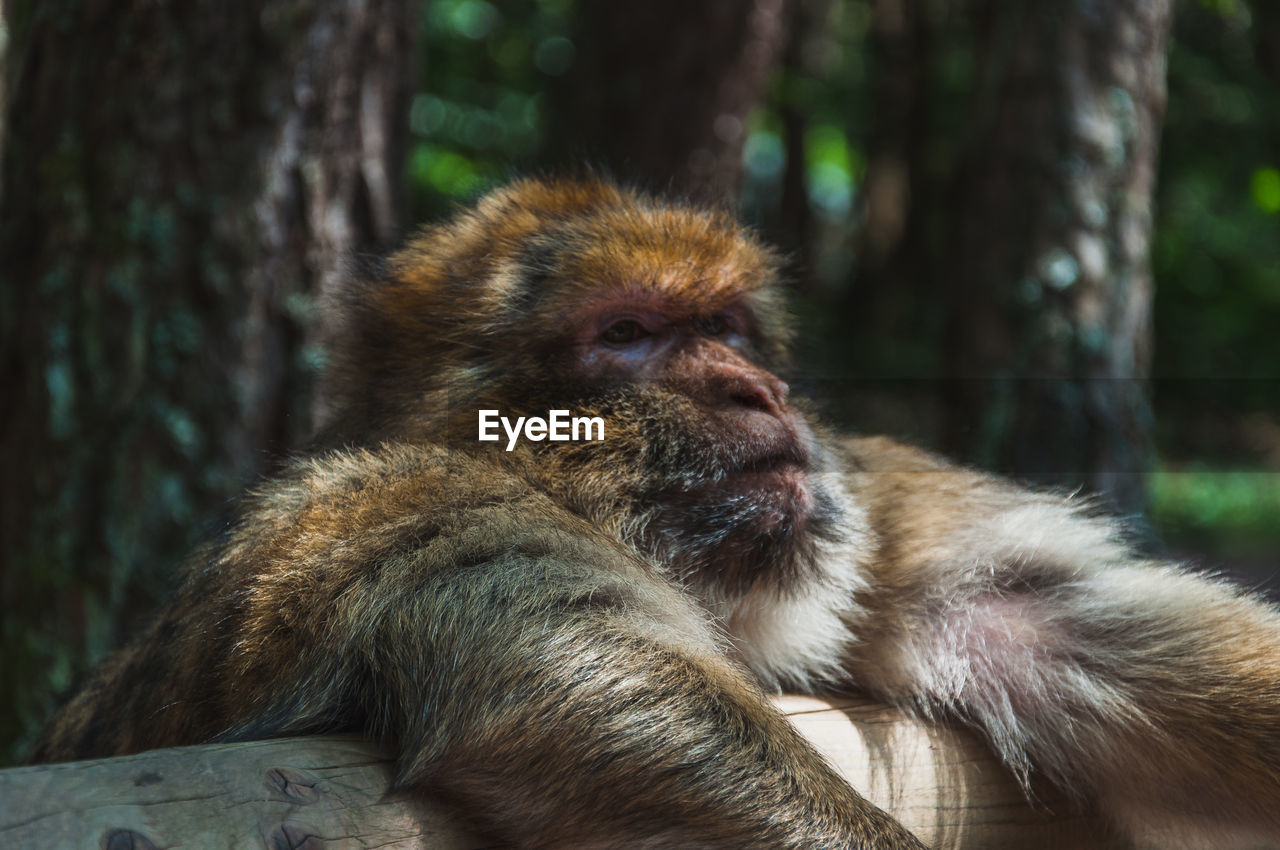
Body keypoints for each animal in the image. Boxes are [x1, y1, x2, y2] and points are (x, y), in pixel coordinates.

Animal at [24, 175, 1280, 844]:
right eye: (624, 334)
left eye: (723, 328)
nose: (752, 389)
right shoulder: (410, 504)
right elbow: (568, 677)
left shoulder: (873, 507)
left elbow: (1059, 623)